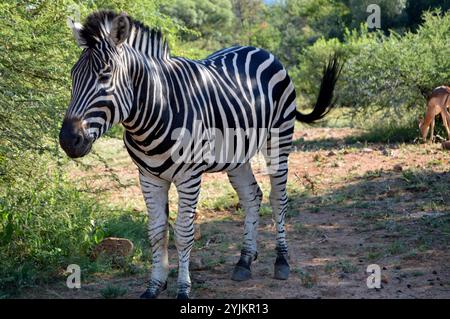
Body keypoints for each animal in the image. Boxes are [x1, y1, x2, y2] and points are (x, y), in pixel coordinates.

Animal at [59, 10, 342, 300]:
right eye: (72, 75)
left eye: (105, 76)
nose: (68, 140)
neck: (156, 109)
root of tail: (259, 49)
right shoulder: (148, 177)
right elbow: (157, 232)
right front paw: (154, 286)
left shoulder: (189, 176)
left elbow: (184, 233)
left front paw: (183, 289)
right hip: (237, 155)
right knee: (252, 197)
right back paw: (244, 261)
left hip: (279, 138)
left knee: (278, 199)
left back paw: (282, 261)